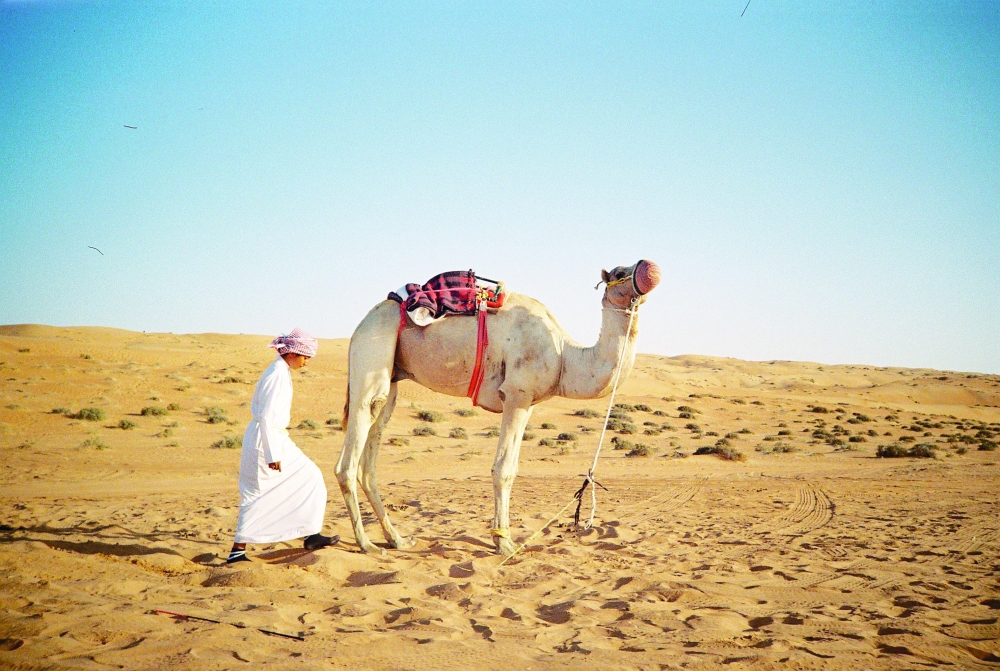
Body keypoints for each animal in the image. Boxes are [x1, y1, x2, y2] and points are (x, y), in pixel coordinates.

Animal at [335, 260, 661, 555]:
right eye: (619, 273)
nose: (649, 268)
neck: (564, 356)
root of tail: (362, 323)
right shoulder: (516, 394)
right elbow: (503, 470)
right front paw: (503, 542)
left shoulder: (528, 403)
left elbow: (513, 468)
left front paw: (502, 537)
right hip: (372, 351)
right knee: (349, 458)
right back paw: (365, 544)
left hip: (392, 378)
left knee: (371, 453)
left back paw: (397, 539)